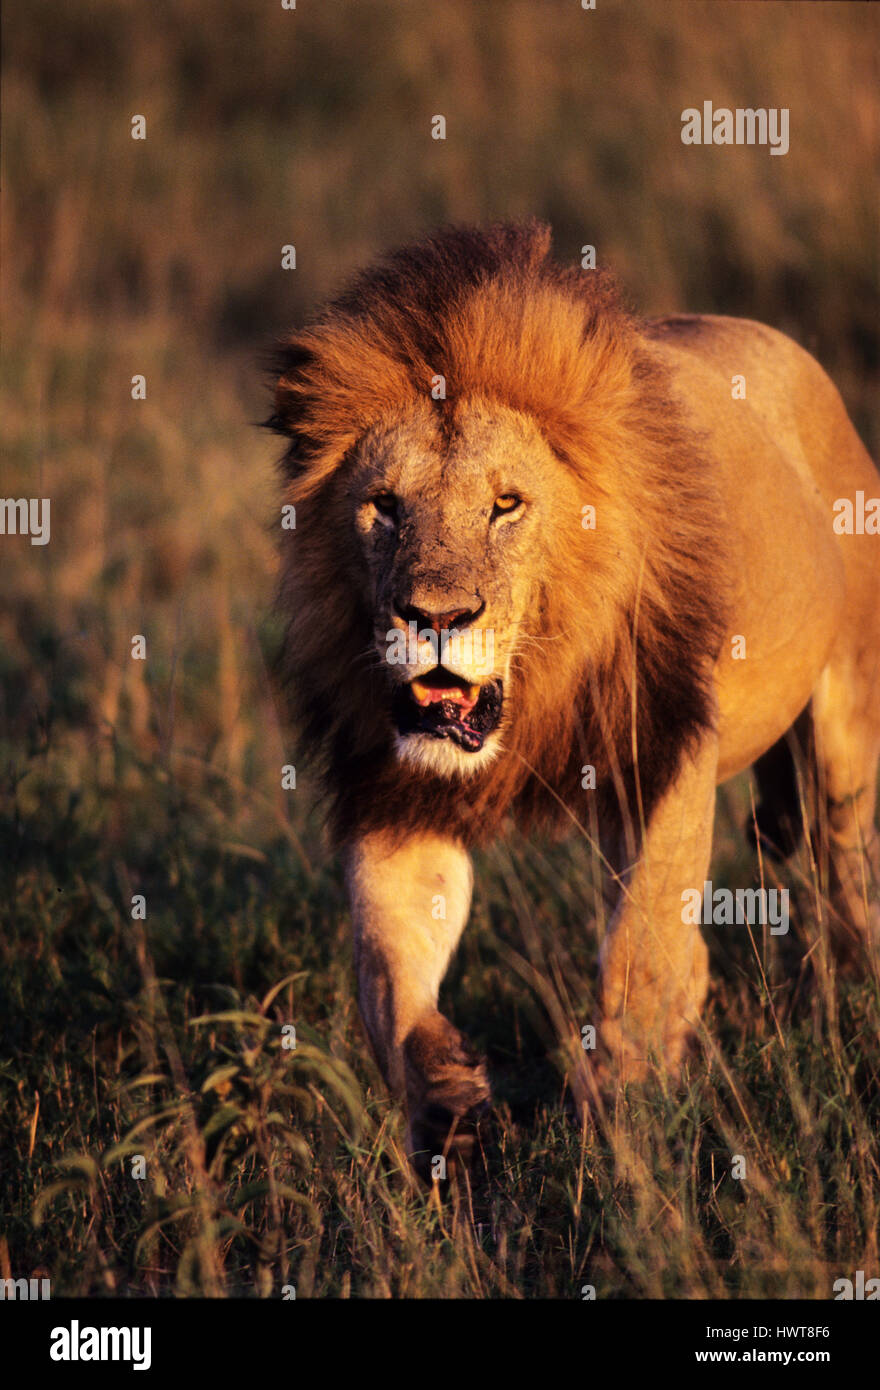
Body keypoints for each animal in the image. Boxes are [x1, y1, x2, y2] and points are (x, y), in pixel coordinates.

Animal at [268, 221, 880, 1176]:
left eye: (506, 505)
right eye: (384, 506)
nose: (434, 617)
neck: (537, 687)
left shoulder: (665, 750)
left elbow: (642, 950)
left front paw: (621, 1128)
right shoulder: (397, 794)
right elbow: (386, 975)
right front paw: (448, 1103)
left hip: (843, 723)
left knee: (845, 868)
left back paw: (849, 999)